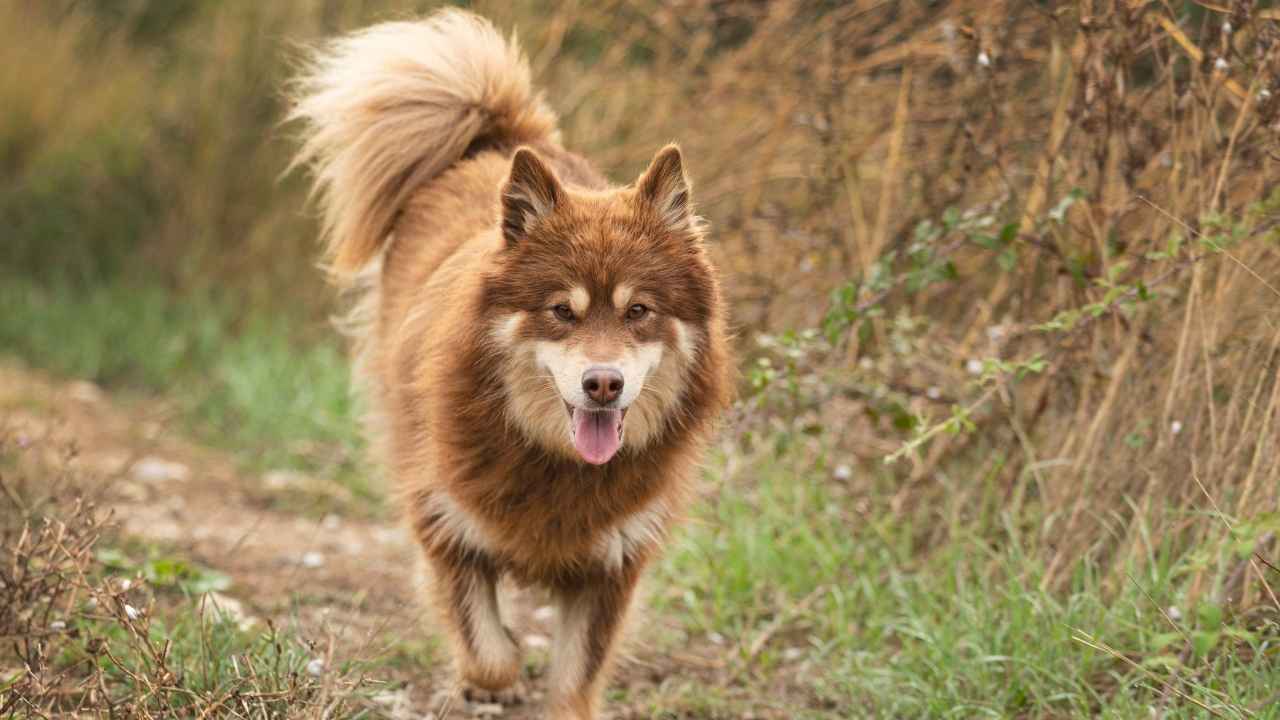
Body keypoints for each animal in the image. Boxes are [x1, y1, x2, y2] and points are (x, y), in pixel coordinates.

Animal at [289, 11, 732, 717]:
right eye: (561, 311)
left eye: (638, 311)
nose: (602, 384)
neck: (554, 463)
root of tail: (497, 142)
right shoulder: (444, 518)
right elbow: (490, 652)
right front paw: (488, 678)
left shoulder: (614, 560)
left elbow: (576, 676)